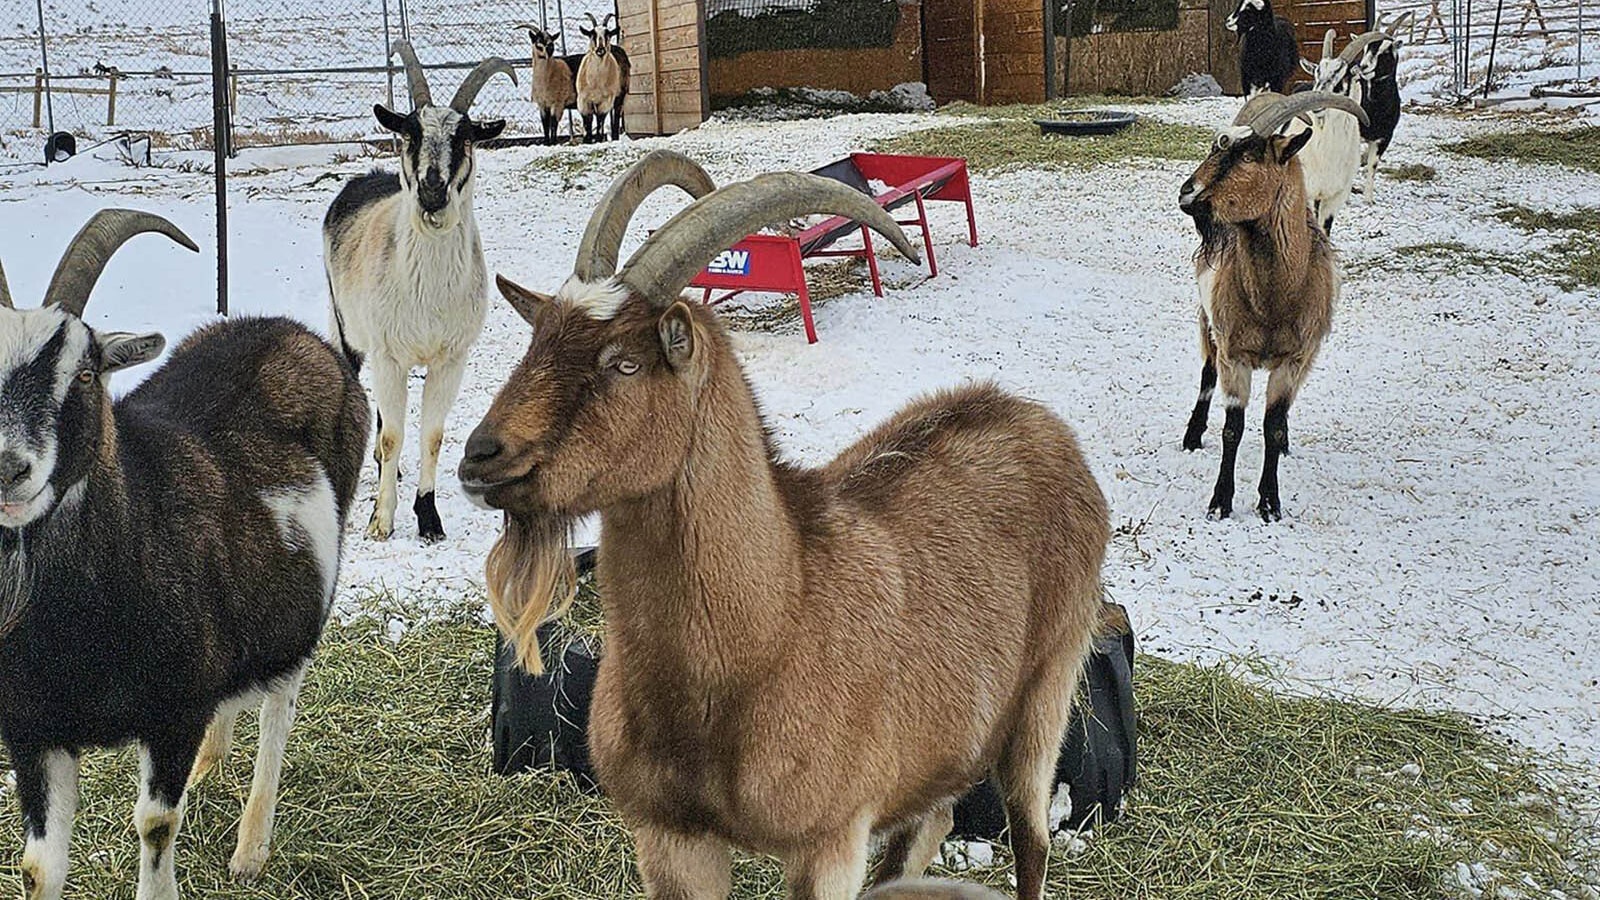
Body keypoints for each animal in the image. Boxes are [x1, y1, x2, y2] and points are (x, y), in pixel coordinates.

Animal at [0, 210, 367, 900]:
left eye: (85, 372)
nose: (9, 469)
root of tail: (292, 331)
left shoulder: (174, 709)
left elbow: (155, 824)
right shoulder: (34, 731)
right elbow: (39, 868)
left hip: (310, 590)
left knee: (281, 700)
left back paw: (251, 846)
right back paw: (210, 762)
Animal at [324, 40, 514, 543]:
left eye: (465, 138)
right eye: (410, 133)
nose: (432, 189)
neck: (427, 289)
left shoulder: (450, 357)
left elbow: (432, 434)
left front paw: (429, 518)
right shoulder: (389, 353)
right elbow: (393, 435)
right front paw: (381, 520)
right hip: (347, 329)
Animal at [458, 158, 1110, 900]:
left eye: (624, 362)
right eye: (536, 341)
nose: (481, 456)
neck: (774, 625)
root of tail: (1041, 422)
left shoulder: (829, 840)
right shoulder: (669, 835)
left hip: (1047, 689)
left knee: (1031, 838)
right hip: (945, 745)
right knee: (932, 822)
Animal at [576, 13, 624, 143]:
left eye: (608, 34)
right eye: (592, 34)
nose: (600, 50)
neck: (595, 83)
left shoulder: (606, 100)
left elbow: (600, 120)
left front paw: (598, 139)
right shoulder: (583, 100)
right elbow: (587, 122)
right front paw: (587, 140)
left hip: (620, 96)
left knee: (616, 116)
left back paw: (615, 137)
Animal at [1178, 91, 1367, 521]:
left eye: (1250, 156)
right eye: (1218, 147)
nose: (1187, 193)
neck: (1273, 301)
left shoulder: (1294, 359)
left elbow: (1274, 424)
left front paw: (1269, 503)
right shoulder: (1234, 354)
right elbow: (1233, 428)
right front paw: (1221, 502)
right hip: (1206, 320)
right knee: (1206, 373)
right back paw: (1192, 435)